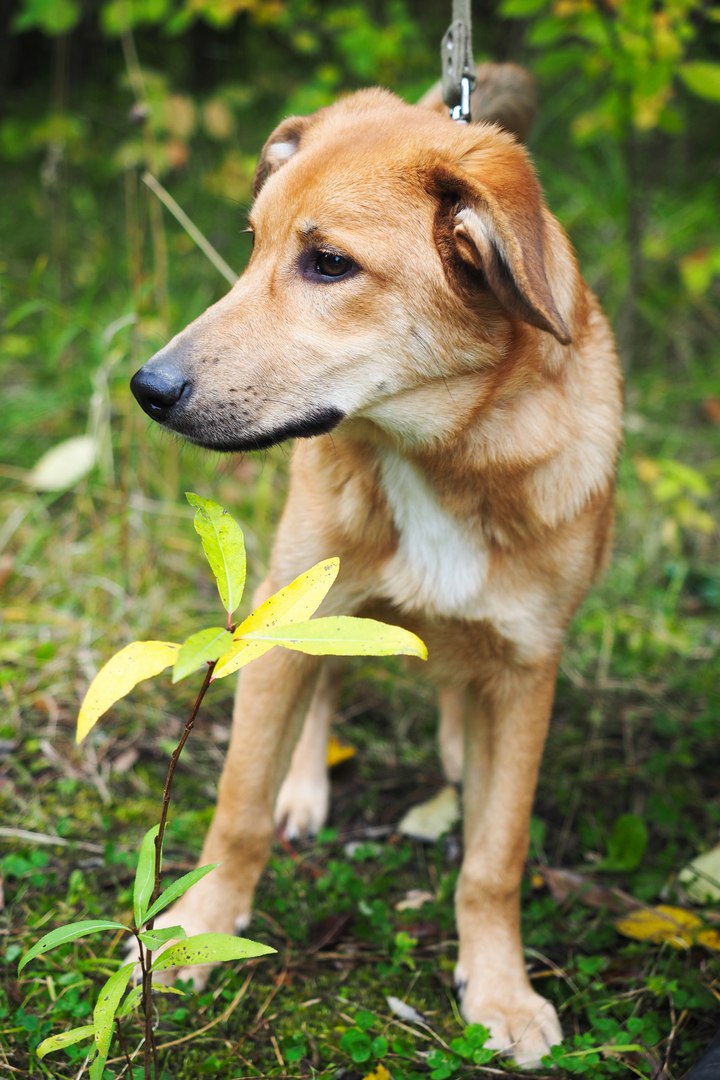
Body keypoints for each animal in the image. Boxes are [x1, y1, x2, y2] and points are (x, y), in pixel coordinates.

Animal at [131, 63, 626, 1067]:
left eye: (328, 264)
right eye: (253, 246)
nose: (147, 389)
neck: (434, 455)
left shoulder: (529, 667)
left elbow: (495, 857)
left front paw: (501, 990)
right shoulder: (279, 630)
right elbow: (237, 807)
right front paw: (201, 931)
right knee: (317, 693)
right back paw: (306, 786)